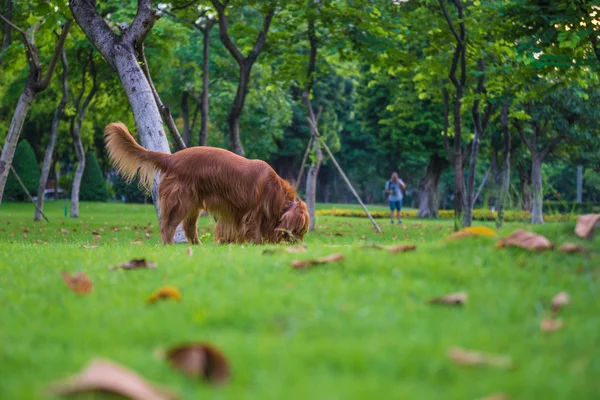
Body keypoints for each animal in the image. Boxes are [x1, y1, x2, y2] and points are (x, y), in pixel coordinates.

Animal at [104, 122, 310, 245]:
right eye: (301, 231)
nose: (302, 246)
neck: (276, 191)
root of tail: (171, 158)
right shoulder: (253, 213)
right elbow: (255, 232)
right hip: (181, 202)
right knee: (168, 227)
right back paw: (169, 246)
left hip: (193, 204)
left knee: (189, 228)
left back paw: (199, 248)